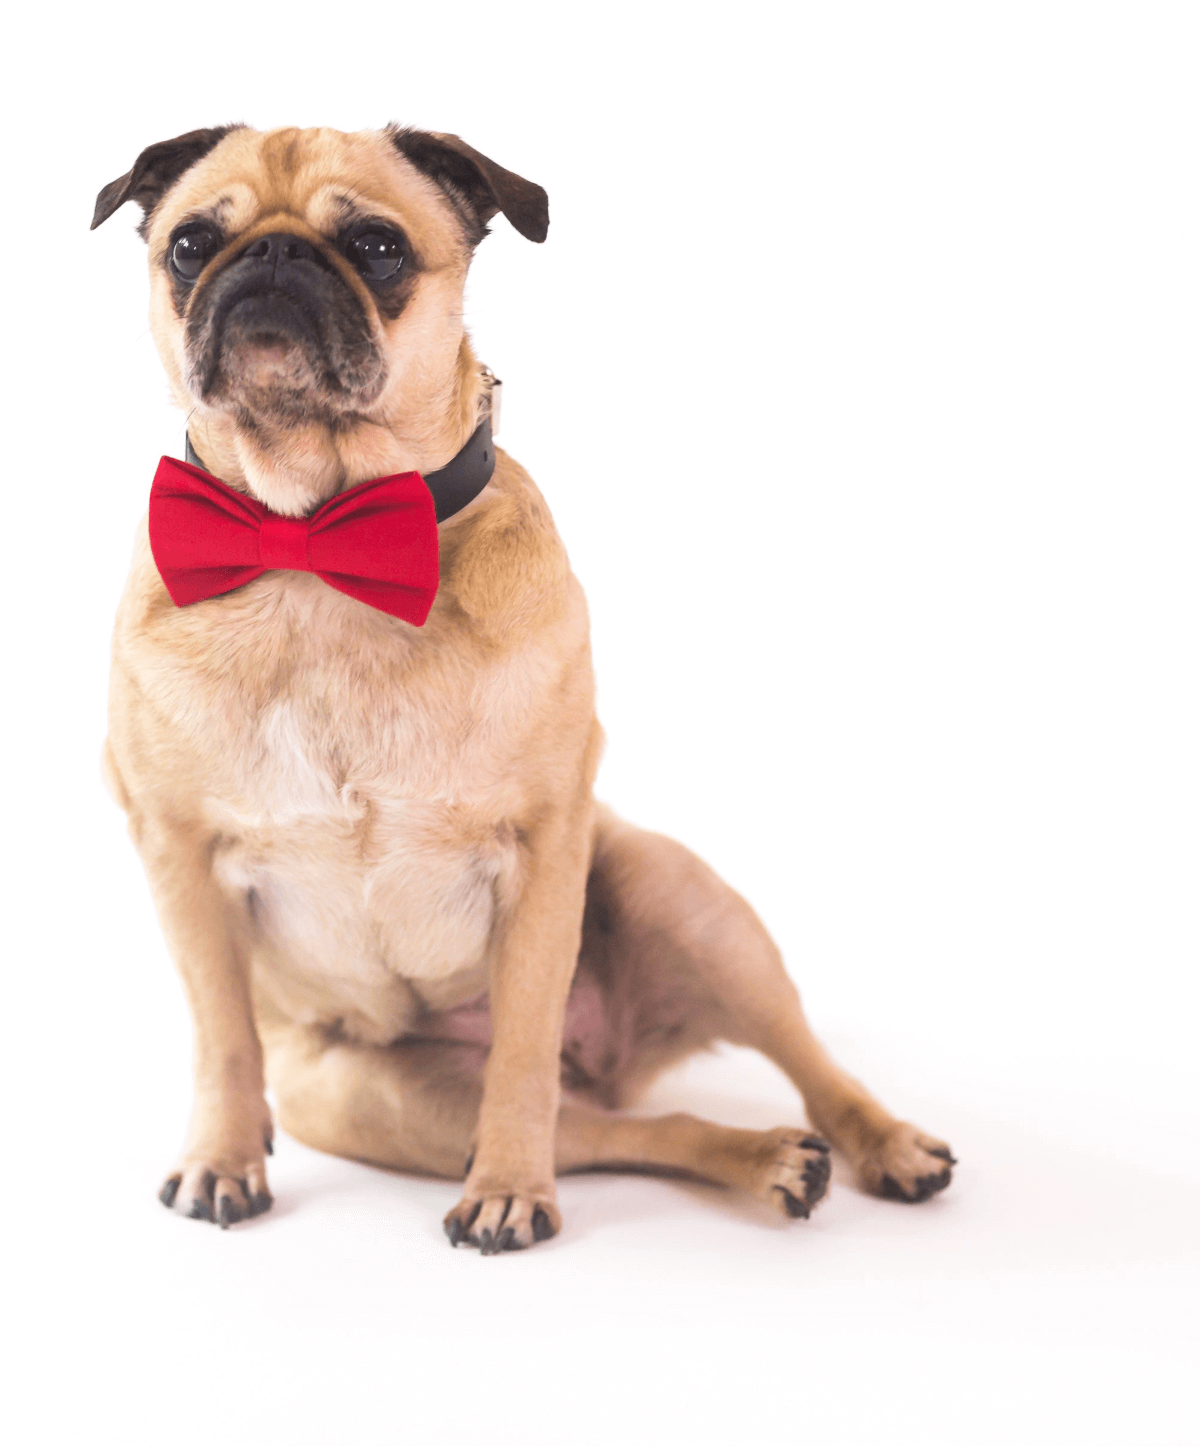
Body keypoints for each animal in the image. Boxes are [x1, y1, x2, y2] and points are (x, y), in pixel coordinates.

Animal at [91, 127, 960, 1255]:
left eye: (377, 246)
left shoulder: (546, 852)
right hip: (374, 1097)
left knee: (790, 1064)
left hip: (680, 898)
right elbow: (223, 1036)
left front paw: (508, 1186)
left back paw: (880, 1144)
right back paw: (769, 1160)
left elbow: (521, 1054)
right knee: (616, 1128)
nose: (270, 258)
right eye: (192, 243)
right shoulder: (180, 860)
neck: (317, 545)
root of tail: (616, 1061)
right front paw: (222, 1159)